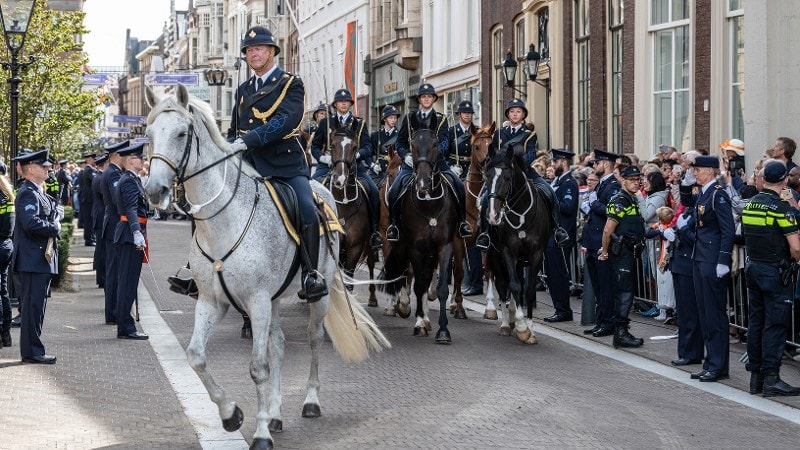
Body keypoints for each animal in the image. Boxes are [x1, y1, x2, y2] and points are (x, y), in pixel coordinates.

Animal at [326, 122, 376, 306]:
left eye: (355, 147)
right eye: (332, 145)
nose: (340, 179)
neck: (344, 204)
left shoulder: (355, 247)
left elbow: (348, 281)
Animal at [382, 117, 466, 344]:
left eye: (436, 144)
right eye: (412, 144)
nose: (422, 183)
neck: (429, 205)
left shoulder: (445, 246)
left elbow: (441, 287)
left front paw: (443, 331)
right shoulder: (414, 247)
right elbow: (418, 283)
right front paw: (418, 321)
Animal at [484, 144, 552, 344]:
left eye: (507, 177)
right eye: (487, 175)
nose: (493, 215)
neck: (521, 213)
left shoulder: (536, 254)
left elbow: (528, 290)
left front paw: (530, 330)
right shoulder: (507, 251)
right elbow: (513, 286)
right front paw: (521, 327)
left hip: (521, 260)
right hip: (496, 256)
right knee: (502, 284)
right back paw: (507, 323)